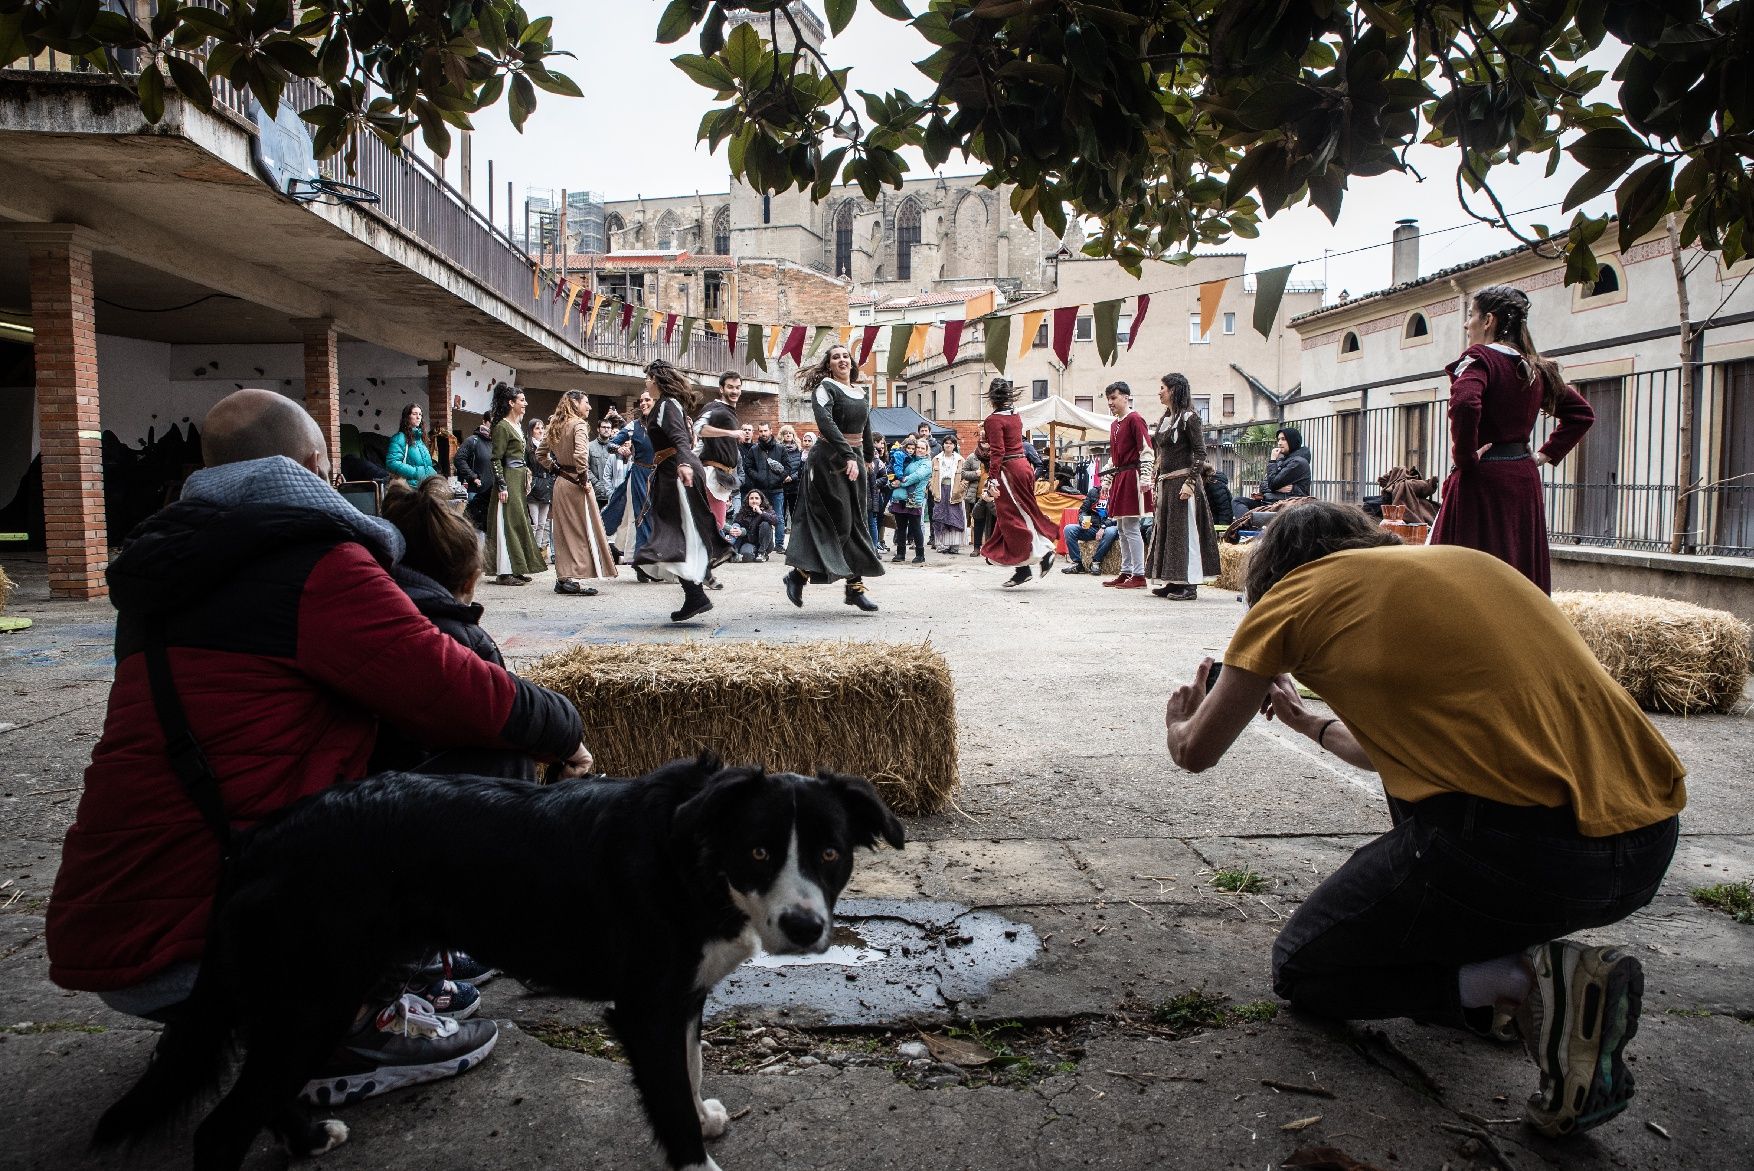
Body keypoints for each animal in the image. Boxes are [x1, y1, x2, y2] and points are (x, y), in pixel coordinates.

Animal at [94, 760, 905, 1171]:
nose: (804, 927)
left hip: (309, 994)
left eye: (830, 853)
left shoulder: (684, 995)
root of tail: (256, 844)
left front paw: (703, 1116)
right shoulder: (643, 1005)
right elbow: (668, 1099)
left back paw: (309, 1138)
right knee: (218, 1131)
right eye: (760, 850)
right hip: (315, 996)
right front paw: (691, 1147)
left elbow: (690, 1066)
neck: (693, 858)